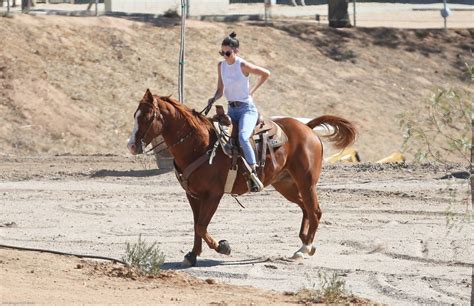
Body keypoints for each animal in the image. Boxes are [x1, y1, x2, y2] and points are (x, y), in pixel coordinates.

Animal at [126, 88, 356, 266]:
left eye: (146, 117)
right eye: (135, 115)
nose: (131, 146)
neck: (200, 144)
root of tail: (307, 128)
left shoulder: (213, 195)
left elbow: (201, 225)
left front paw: (222, 246)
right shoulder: (192, 195)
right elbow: (196, 225)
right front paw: (192, 255)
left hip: (306, 182)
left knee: (315, 211)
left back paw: (304, 249)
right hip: (285, 185)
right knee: (304, 208)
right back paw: (305, 242)